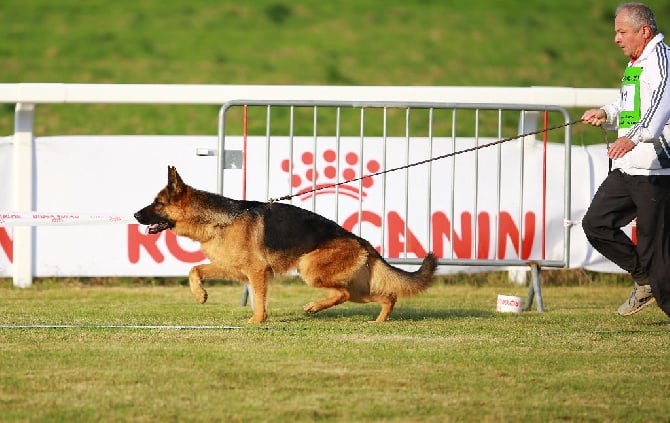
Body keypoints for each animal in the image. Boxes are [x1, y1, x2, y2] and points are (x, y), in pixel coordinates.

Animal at [136, 167, 440, 322]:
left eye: (157, 204)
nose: (135, 215)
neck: (222, 219)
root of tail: (361, 241)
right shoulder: (230, 268)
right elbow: (194, 270)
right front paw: (200, 295)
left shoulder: (257, 273)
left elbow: (259, 301)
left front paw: (257, 322)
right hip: (354, 287)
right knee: (386, 296)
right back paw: (378, 320)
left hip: (309, 269)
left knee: (342, 293)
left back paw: (314, 307)